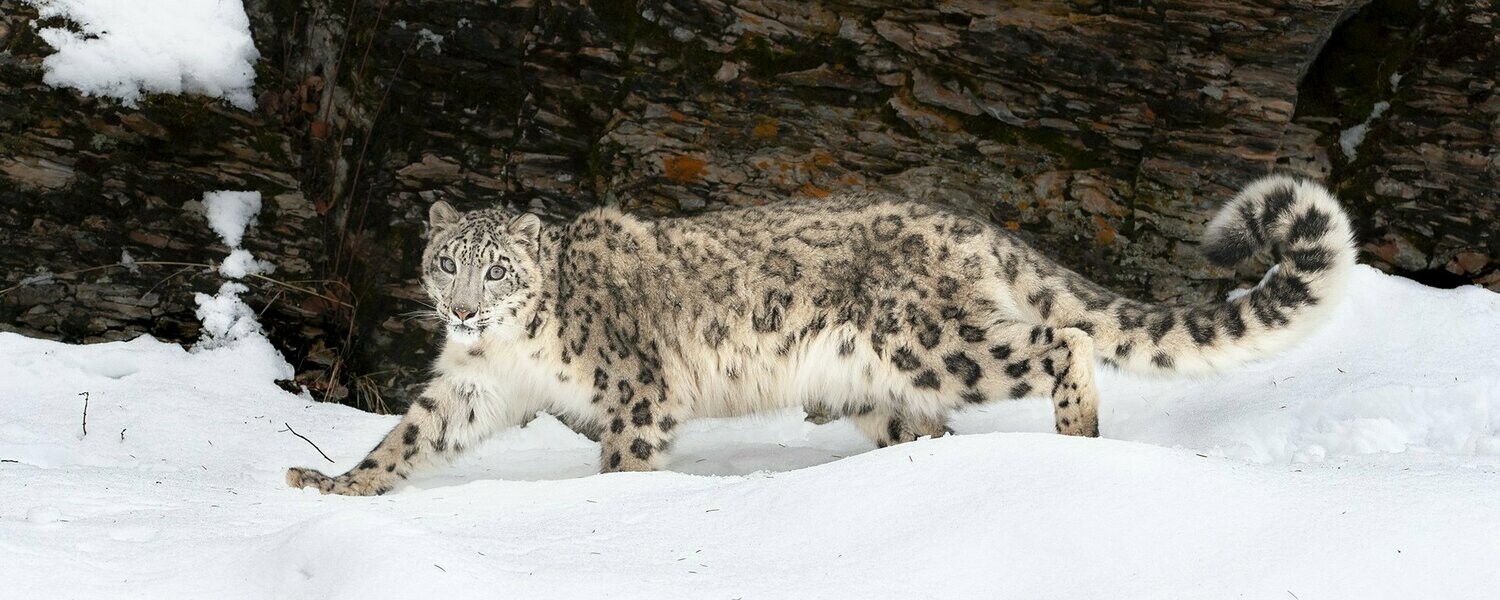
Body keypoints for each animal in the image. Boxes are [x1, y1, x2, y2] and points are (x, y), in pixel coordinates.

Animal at [287, 174, 1356, 495]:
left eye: (497, 269)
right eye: (445, 263)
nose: (463, 311)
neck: (508, 349)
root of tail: (965, 223)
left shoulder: (635, 390)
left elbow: (626, 459)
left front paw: (618, 507)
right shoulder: (472, 386)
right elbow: (409, 436)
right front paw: (334, 484)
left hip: (938, 342)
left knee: (1066, 340)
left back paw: (1077, 437)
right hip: (875, 387)